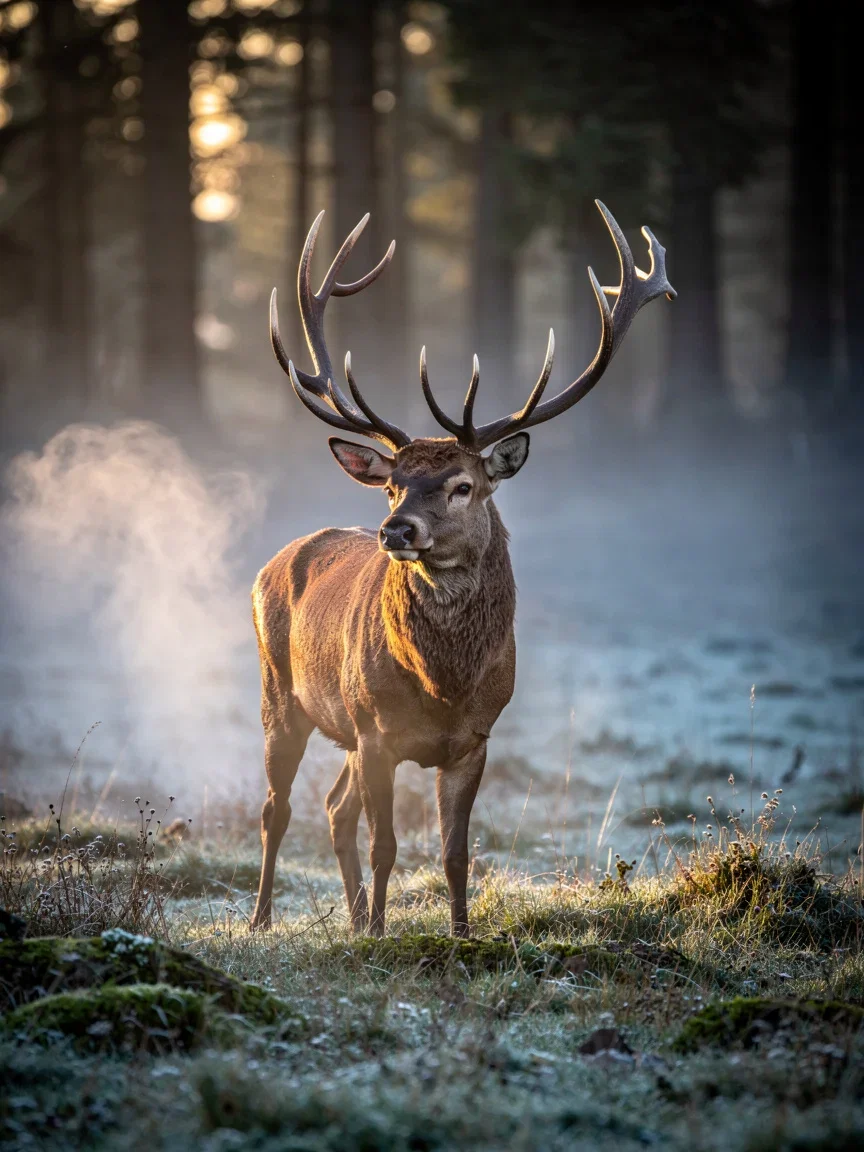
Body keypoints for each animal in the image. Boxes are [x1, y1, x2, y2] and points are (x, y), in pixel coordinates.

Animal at [250, 202, 675, 937]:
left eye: (462, 486)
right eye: (392, 486)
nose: (396, 530)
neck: (444, 683)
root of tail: (273, 564)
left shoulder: (475, 739)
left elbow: (455, 853)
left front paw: (458, 933)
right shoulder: (377, 732)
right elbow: (387, 845)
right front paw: (381, 935)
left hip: (342, 732)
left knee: (333, 808)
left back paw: (351, 917)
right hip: (282, 693)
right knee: (278, 808)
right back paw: (263, 919)